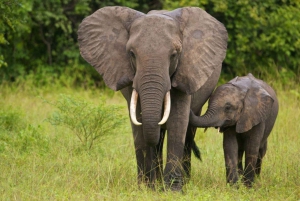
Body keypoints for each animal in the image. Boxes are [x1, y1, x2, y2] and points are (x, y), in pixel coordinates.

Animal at [78, 6, 227, 191]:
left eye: (174, 54)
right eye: (132, 54)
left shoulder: (186, 71)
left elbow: (178, 121)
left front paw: (173, 190)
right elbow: (138, 122)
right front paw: (145, 188)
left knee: (187, 133)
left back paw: (183, 181)